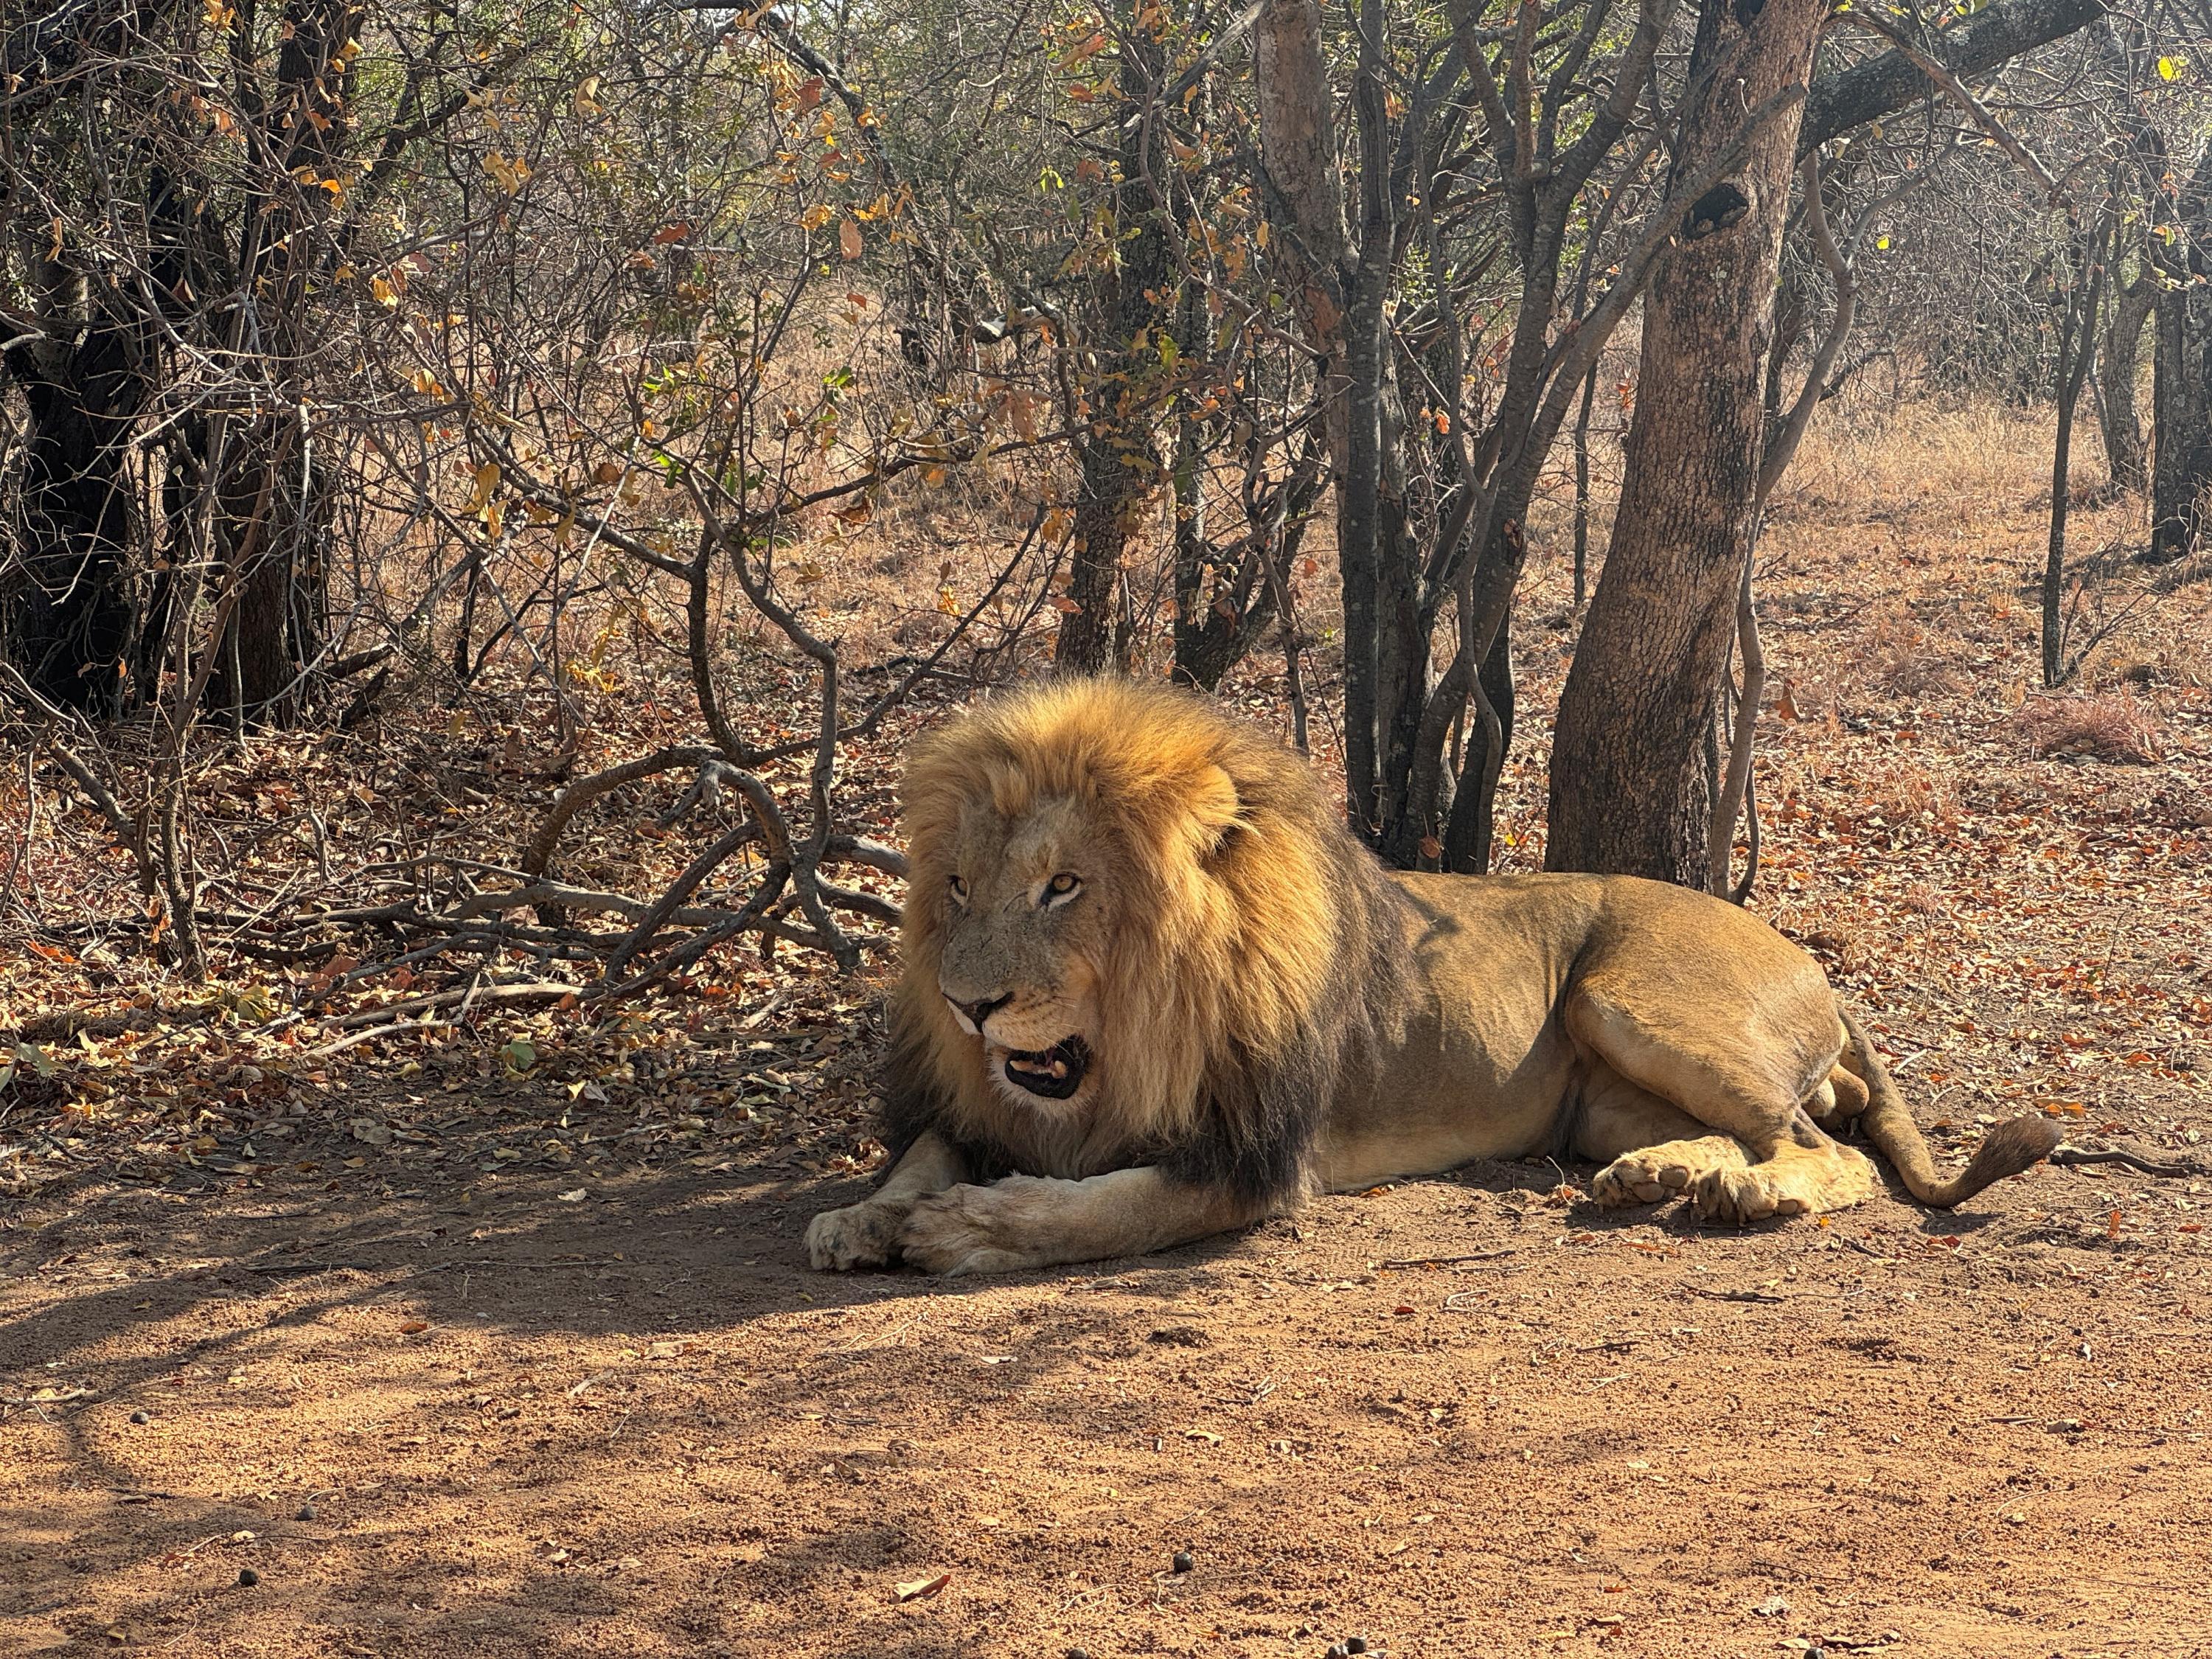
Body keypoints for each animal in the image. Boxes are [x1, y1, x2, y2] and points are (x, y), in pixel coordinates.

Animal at [805, 681, 2062, 1283]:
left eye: (1063, 885)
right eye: (958, 885)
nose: (968, 1004)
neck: (1130, 1038)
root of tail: (1818, 965)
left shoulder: (1256, 1158)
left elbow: (1107, 1208)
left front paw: (971, 1228)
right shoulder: (989, 1105)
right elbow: (923, 1151)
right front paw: (864, 1214)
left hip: (1628, 997)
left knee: (1828, 1150)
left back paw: (1749, 1195)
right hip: (1602, 1083)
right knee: (1771, 1129)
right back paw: (1663, 1175)